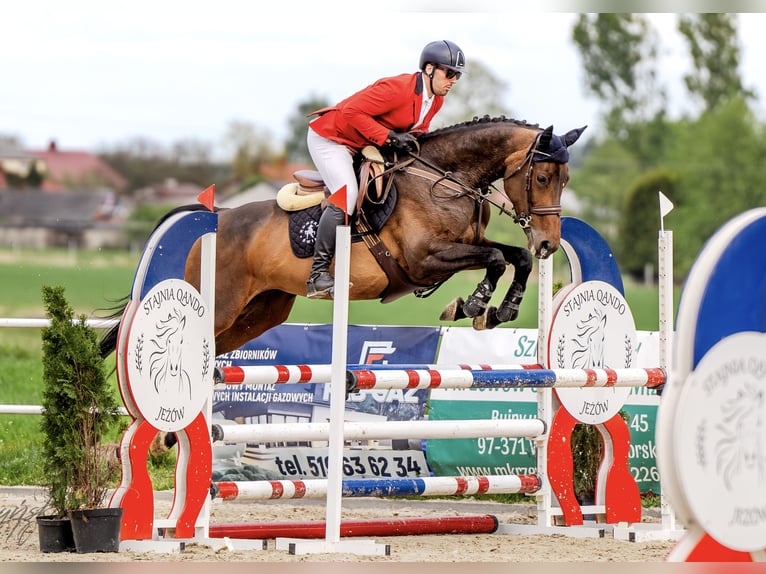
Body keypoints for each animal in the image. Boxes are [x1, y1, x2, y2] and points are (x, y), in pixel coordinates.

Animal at [99, 116, 584, 360]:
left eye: (566, 180)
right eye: (542, 177)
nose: (549, 244)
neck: (445, 179)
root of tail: (214, 219)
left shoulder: (464, 248)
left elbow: (515, 257)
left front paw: (499, 310)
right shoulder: (424, 260)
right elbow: (497, 261)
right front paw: (474, 304)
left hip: (262, 311)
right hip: (220, 302)